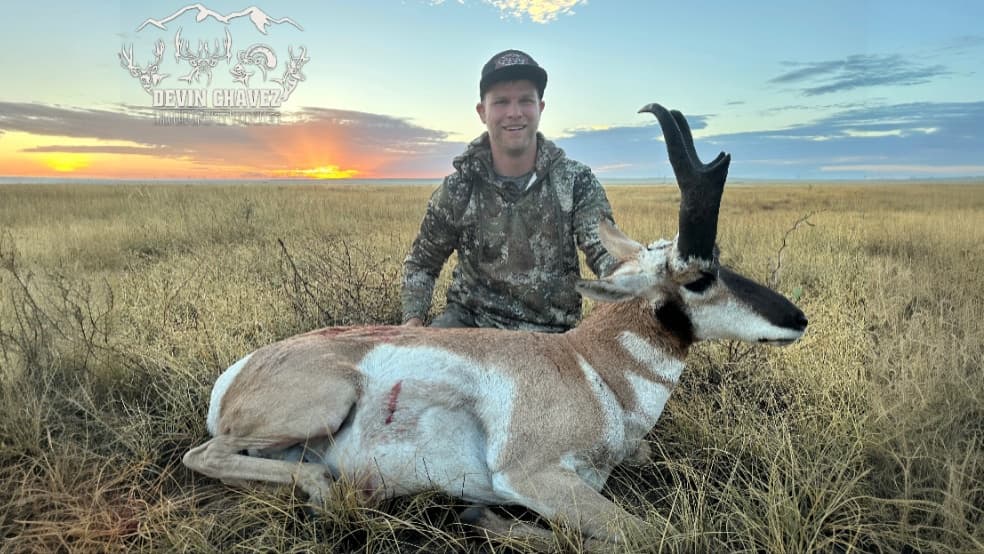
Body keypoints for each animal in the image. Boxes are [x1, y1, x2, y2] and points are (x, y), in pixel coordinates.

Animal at [182, 104, 808, 544]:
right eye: (700, 278)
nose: (798, 318)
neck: (591, 367)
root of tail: (238, 373)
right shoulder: (532, 477)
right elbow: (653, 535)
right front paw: (486, 517)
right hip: (323, 402)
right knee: (203, 456)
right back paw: (328, 492)